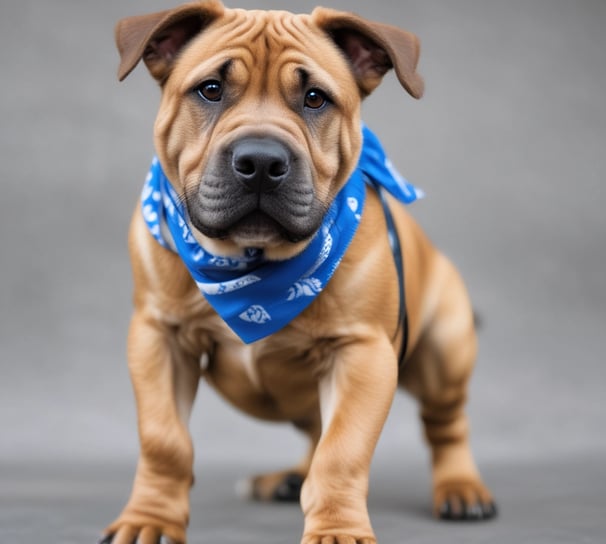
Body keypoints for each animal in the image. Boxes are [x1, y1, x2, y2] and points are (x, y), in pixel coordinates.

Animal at [101, 1, 498, 544]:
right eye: (211, 89)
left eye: (315, 99)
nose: (261, 160)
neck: (250, 266)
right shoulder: (159, 338)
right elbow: (165, 441)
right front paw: (150, 520)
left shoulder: (362, 353)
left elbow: (343, 451)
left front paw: (337, 530)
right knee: (314, 430)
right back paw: (288, 479)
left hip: (444, 352)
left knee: (445, 425)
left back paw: (461, 489)